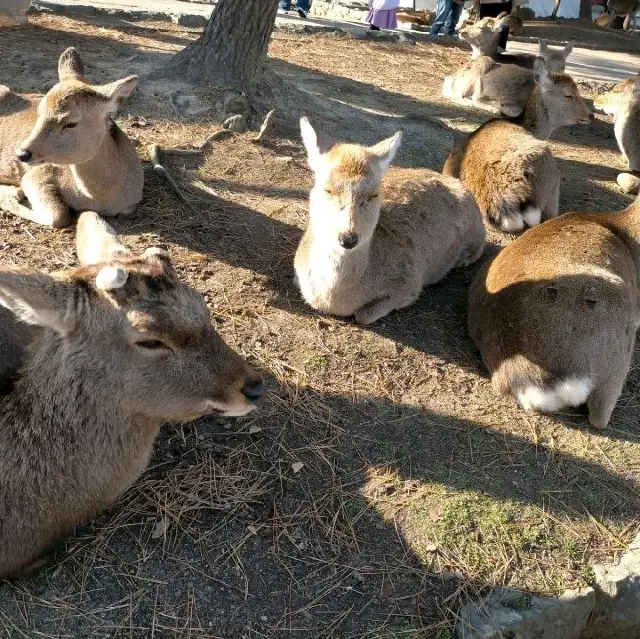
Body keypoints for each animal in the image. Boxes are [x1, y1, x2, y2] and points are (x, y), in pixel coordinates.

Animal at [0, 47, 144, 229]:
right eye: (39, 112)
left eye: (70, 123)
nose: (22, 154)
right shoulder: (37, 173)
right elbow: (59, 216)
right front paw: (10, 196)